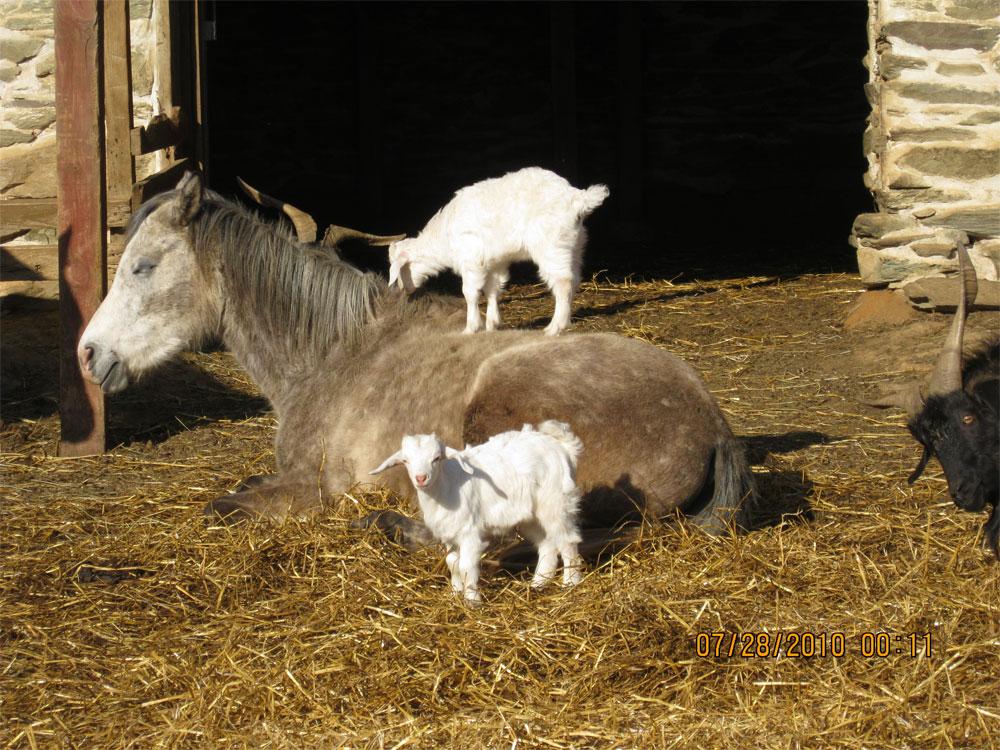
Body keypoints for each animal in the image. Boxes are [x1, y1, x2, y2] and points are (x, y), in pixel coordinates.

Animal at [370, 421, 585, 604]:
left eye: (436, 458)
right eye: (405, 460)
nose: (421, 478)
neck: (446, 486)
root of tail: (562, 446)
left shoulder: (469, 533)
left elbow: (466, 565)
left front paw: (472, 600)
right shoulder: (450, 534)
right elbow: (452, 562)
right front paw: (455, 593)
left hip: (556, 502)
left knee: (567, 541)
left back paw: (570, 584)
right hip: (531, 516)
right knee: (547, 544)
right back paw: (538, 584)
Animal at [386, 167, 609, 335]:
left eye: (400, 269)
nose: (403, 290)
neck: (444, 236)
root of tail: (577, 198)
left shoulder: (471, 259)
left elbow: (469, 293)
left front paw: (470, 328)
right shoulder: (494, 261)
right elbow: (492, 288)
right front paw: (492, 324)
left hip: (551, 245)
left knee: (562, 282)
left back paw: (554, 327)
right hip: (575, 244)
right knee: (575, 279)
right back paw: (566, 320)